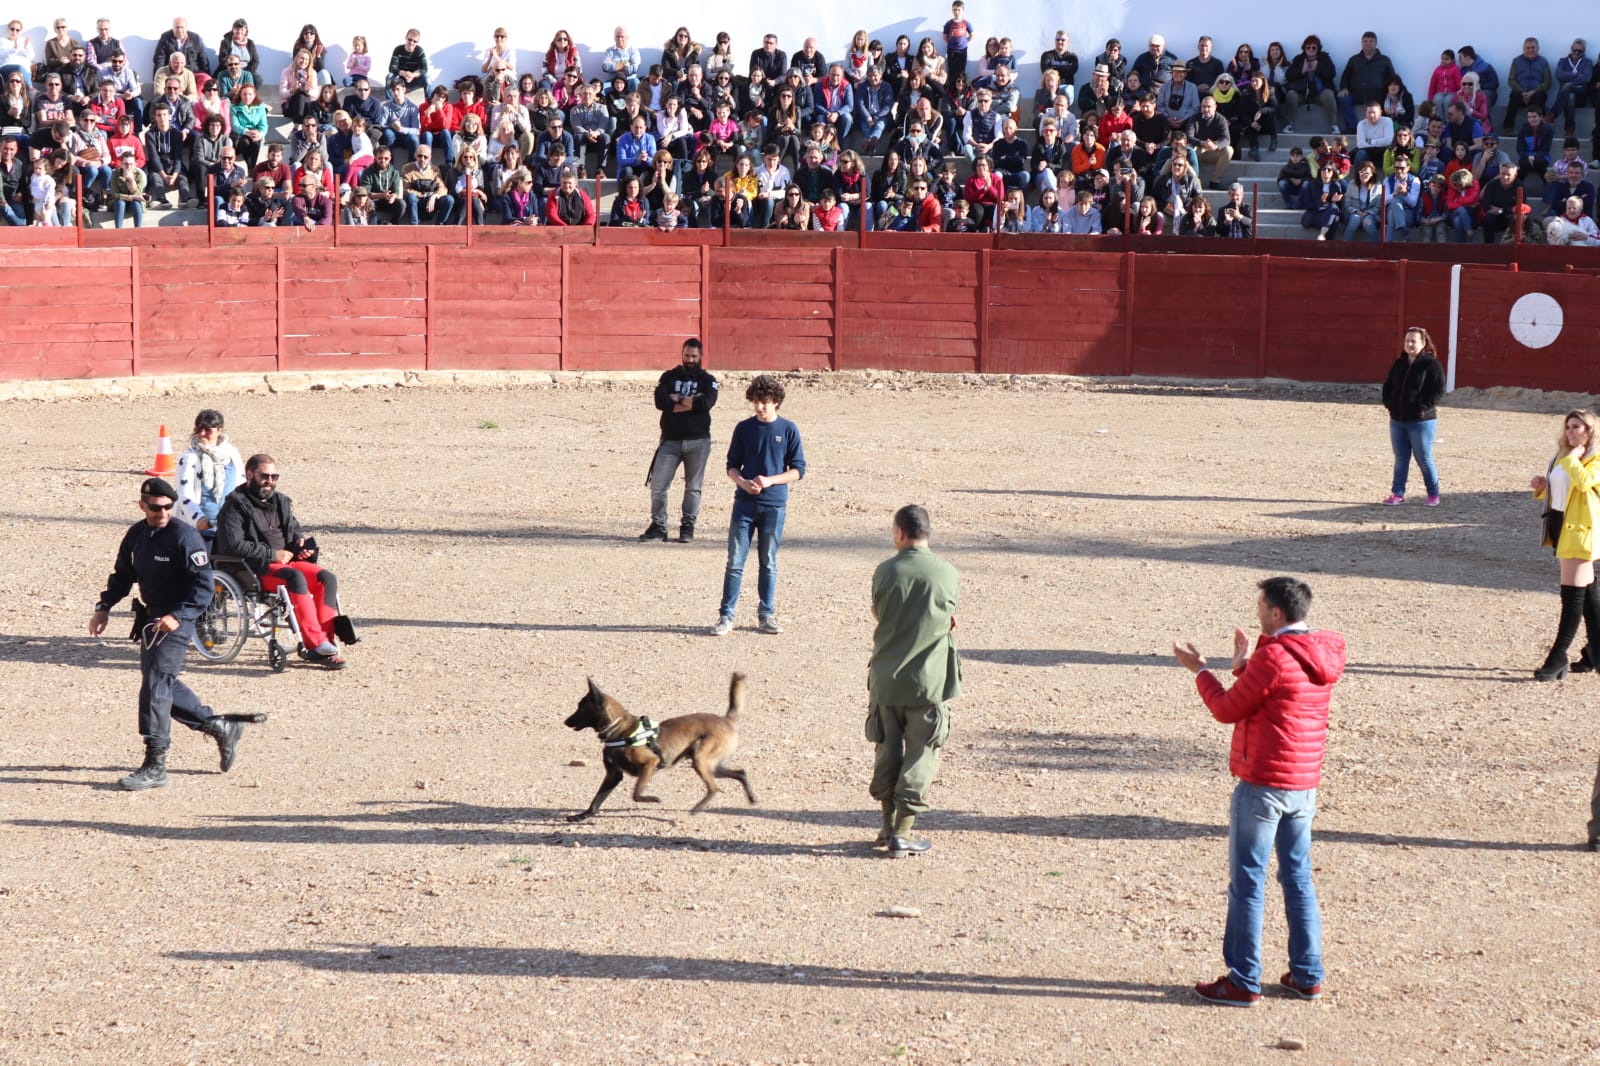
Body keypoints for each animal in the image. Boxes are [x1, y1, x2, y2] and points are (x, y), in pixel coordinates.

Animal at [566, 669, 758, 816]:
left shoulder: (650, 763)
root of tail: (725, 720)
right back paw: (751, 797)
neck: (619, 729)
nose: (566, 722)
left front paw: (653, 799)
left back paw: (698, 808)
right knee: (740, 773)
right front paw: (582, 816)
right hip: (712, 765)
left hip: (701, 760)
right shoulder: (613, 775)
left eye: (581, 708)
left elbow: (636, 794)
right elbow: (596, 800)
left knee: (714, 788)